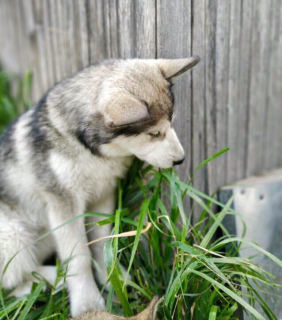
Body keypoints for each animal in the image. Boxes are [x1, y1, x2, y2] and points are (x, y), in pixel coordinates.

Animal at [0, 57, 198, 316]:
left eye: (171, 124)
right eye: (154, 133)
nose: (181, 160)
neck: (89, 150)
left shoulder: (103, 197)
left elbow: (102, 244)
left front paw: (114, 280)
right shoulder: (65, 205)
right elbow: (79, 257)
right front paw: (87, 301)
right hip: (12, 235)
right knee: (12, 283)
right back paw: (54, 278)